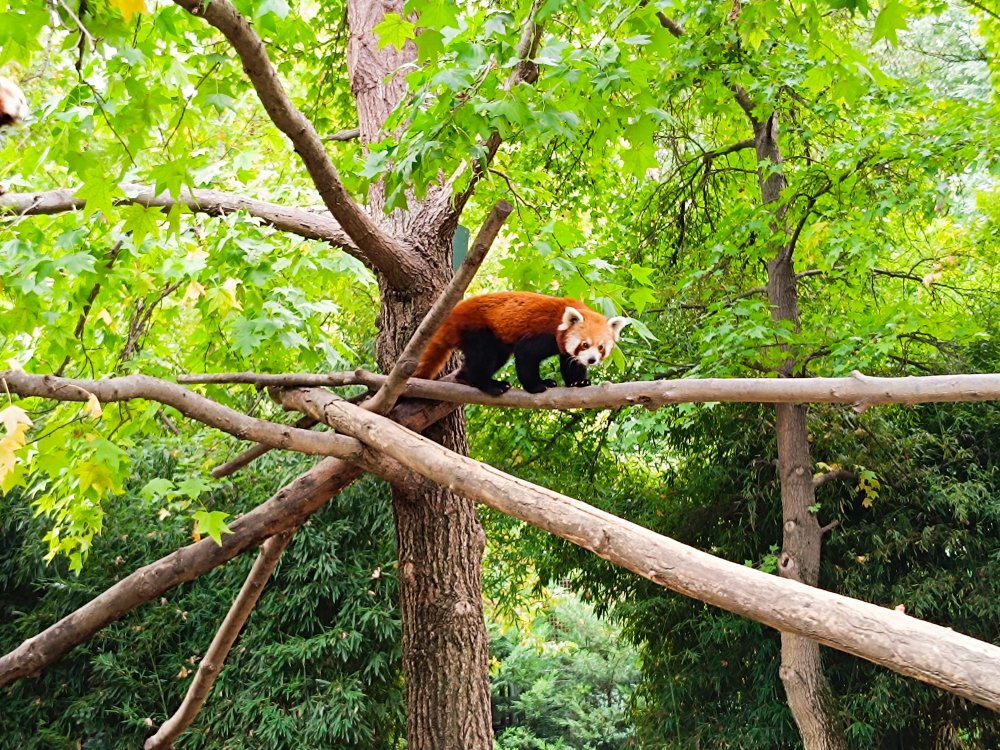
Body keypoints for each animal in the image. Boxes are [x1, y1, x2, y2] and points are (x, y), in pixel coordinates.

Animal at [416, 292, 632, 396]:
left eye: (601, 347)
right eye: (585, 345)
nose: (592, 360)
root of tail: (453, 315)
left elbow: (570, 363)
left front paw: (579, 382)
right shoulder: (544, 334)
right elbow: (525, 355)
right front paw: (536, 386)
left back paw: (464, 378)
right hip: (478, 330)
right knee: (484, 357)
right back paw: (488, 384)